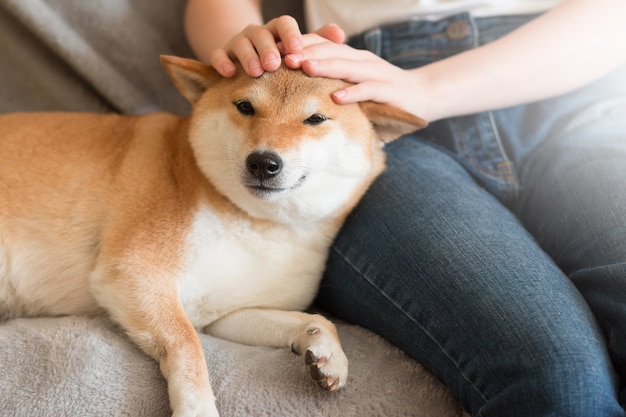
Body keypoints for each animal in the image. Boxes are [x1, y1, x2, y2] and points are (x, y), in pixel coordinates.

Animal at [0, 56, 424, 416]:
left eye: (316, 118)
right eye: (245, 107)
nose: (263, 162)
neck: (254, 222)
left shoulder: (224, 314)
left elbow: (314, 319)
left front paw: (325, 351)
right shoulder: (135, 274)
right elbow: (189, 346)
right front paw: (197, 407)